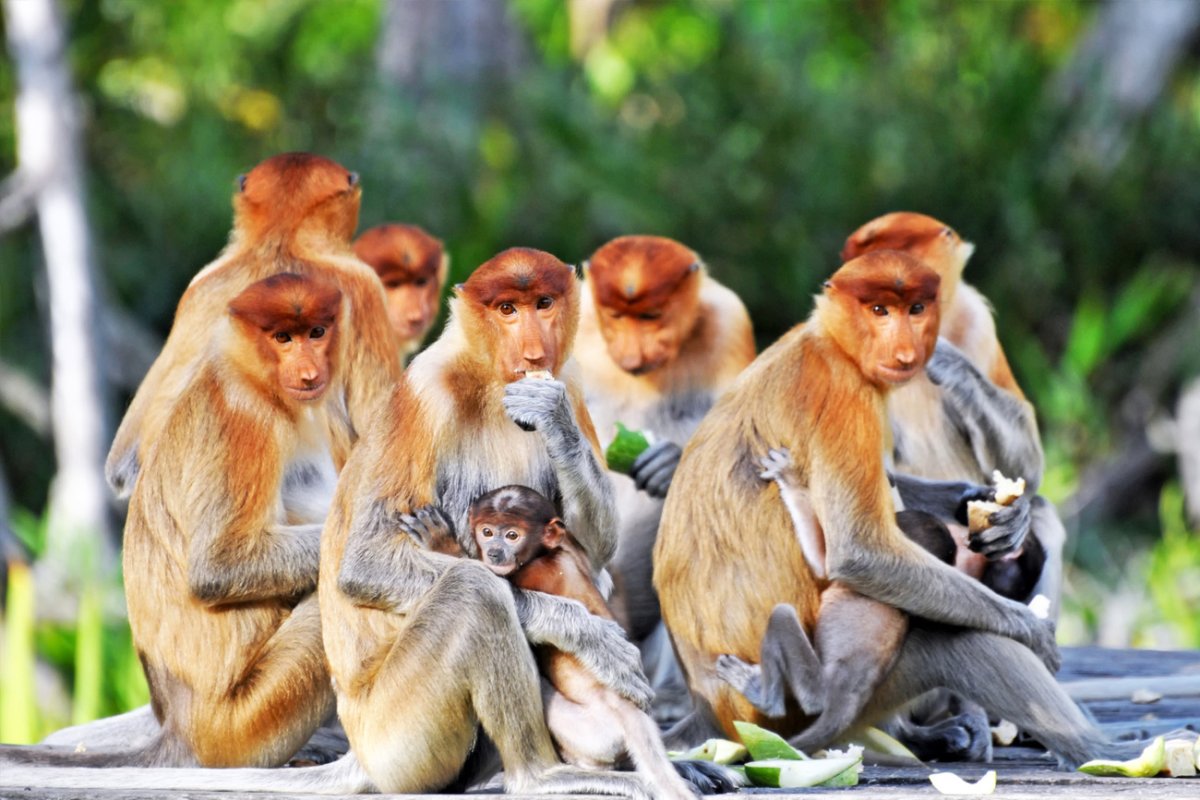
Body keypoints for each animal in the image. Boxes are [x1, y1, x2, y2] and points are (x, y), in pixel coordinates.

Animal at [0, 273, 346, 771]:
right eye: (283, 337)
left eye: (316, 333)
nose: (308, 373)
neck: (255, 380)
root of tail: (181, 727)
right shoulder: (245, 424)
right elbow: (217, 566)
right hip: (243, 722)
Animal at [653, 250, 1128, 769]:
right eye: (879, 310)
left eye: (915, 308)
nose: (904, 352)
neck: (831, 343)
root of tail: (711, 708)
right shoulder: (846, 396)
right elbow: (858, 551)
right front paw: (1032, 631)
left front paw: (1001, 511)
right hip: (821, 704)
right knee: (962, 640)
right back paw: (1096, 749)